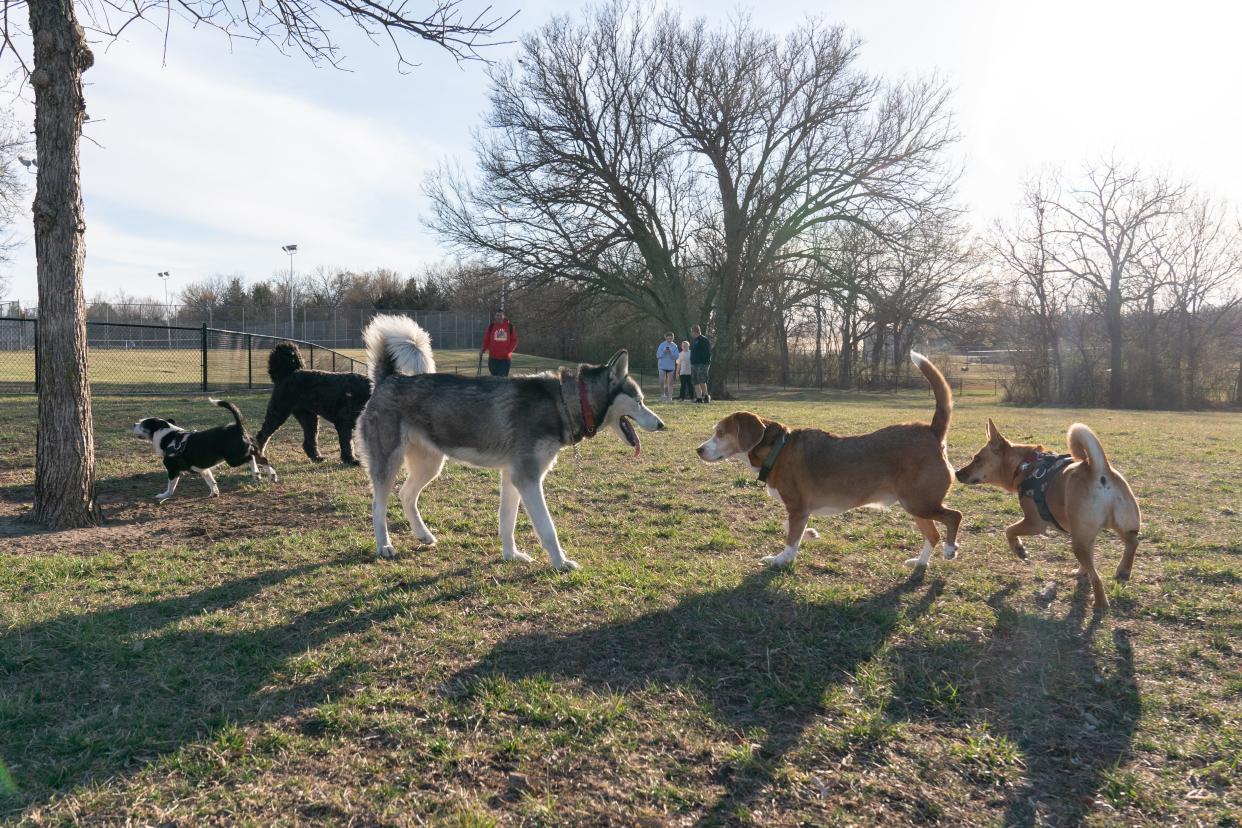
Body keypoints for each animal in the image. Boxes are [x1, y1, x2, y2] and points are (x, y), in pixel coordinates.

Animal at [137, 397, 280, 501]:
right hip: (249, 451)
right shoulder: (203, 470)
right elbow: (211, 482)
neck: (169, 436)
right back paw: (272, 475)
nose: (134, 424)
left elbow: (170, 487)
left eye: (142, 423)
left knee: (251, 458)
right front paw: (214, 493)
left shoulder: (173, 470)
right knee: (263, 459)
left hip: (233, 459)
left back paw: (256, 472)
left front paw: (163, 496)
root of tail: (237, 426)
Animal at [700, 350, 958, 571]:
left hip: (919, 503)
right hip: (916, 505)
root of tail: (931, 431)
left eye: (720, 433)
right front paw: (810, 534)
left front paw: (781, 559)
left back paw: (950, 549)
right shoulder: (800, 512)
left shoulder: (798, 509)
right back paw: (920, 563)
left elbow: (790, 541)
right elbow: (791, 528)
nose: (698, 450)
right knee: (933, 535)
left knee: (954, 516)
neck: (777, 449)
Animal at [953, 422, 1137, 608]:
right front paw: (1081, 571)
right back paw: (1123, 570)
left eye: (977, 459)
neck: (1024, 465)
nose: (956, 473)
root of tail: (1099, 470)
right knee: (1132, 542)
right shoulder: (1087, 536)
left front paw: (1019, 549)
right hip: (1119, 526)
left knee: (1097, 577)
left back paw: (1101, 602)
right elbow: (1090, 558)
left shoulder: (1035, 523)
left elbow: (1009, 530)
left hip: (1078, 542)